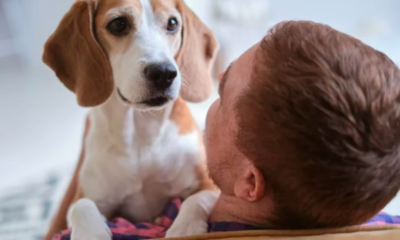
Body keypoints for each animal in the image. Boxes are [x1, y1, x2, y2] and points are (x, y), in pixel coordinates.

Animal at [42, 0, 219, 240]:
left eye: (172, 23)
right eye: (118, 24)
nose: (164, 72)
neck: (141, 133)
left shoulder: (209, 185)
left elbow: (195, 201)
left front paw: (185, 229)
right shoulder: (85, 197)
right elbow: (82, 207)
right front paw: (91, 233)